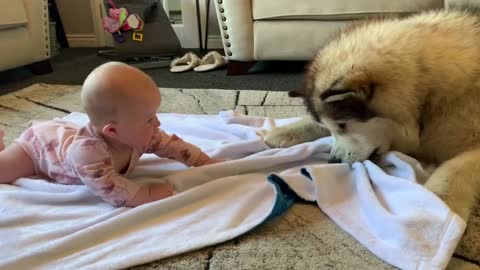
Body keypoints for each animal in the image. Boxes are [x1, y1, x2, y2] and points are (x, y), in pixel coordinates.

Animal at [266, 9, 480, 223]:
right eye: (330, 127)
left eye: (342, 124)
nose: (333, 161)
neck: (425, 94)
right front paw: (284, 132)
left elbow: (452, 171)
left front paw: (439, 207)